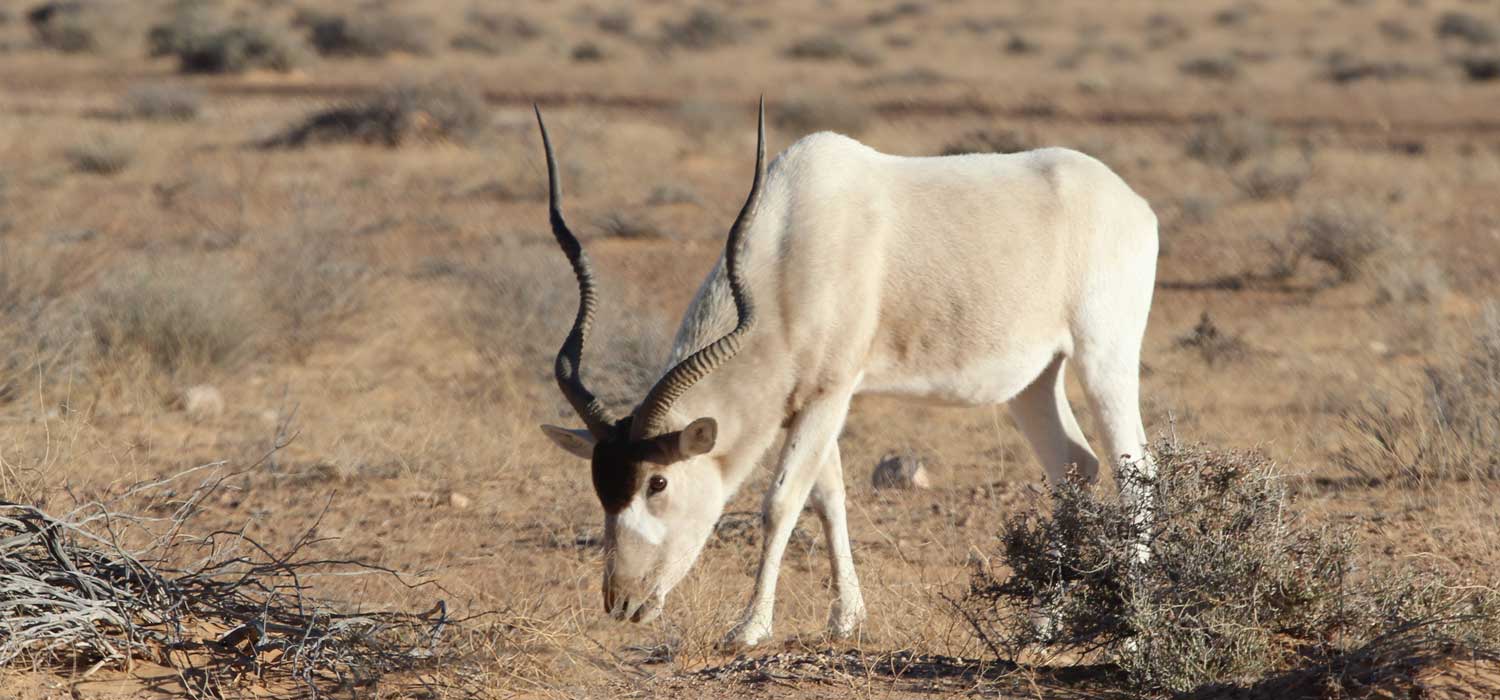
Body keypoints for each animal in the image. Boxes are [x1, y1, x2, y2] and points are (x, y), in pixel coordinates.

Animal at [537, 101, 1158, 650]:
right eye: (600, 484)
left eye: (658, 483)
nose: (623, 601)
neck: (791, 242)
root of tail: (1134, 205)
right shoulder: (810, 397)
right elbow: (827, 497)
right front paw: (845, 620)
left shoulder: (831, 394)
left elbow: (781, 503)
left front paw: (748, 629)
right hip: (1033, 380)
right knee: (1074, 466)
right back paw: (1042, 626)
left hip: (1103, 356)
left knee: (1136, 472)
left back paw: (1132, 633)